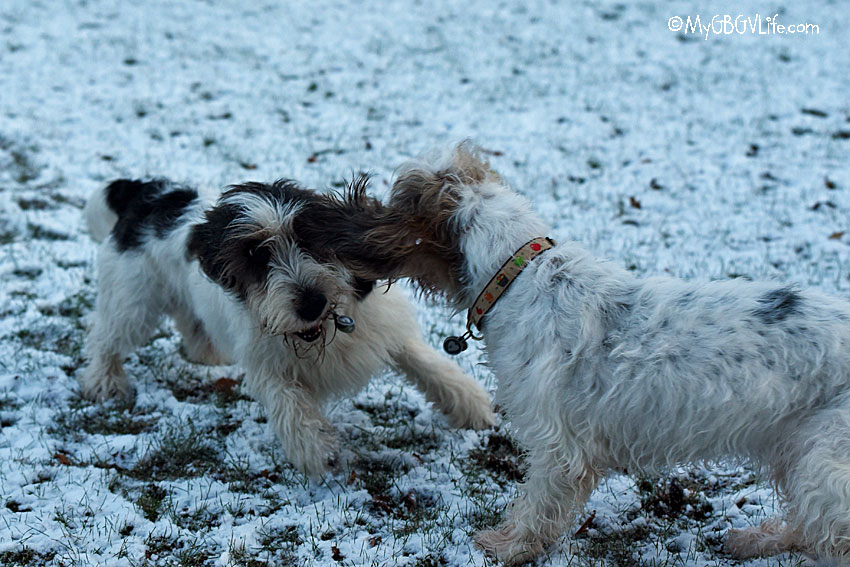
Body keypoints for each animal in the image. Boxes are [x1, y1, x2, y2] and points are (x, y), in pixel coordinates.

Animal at [83, 176, 494, 474]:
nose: (313, 303)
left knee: (192, 326)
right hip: (133, 301)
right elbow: (288, 401)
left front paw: (471, 405)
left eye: (309, 240)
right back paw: (105, 381)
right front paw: (317, 449)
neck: (325, 332)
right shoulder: (266, 360)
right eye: (254, 254)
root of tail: (149, 193)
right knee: (106, 337)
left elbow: (428, 363)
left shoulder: (381, 327)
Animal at [352, 144, 850, 564]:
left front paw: (507, 547)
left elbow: (537, 504)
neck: (516, 274)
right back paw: (756, 540)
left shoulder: (559, 446)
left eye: (395, 201)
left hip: (822, 461)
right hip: (796, 451)